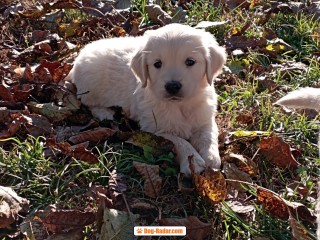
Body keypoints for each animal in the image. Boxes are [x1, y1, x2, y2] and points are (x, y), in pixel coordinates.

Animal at [70, 23, 226, 175]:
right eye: (157, 64)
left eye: (190, 62)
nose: (172, 86)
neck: (180, 105)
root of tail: (79, 56)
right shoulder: (155, 129)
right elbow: (179, 140)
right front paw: (192, 161)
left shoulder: (204, 118)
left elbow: (208, 135)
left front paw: (211, 158)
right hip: (90, 87)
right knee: (88, 102)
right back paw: (104, 113)